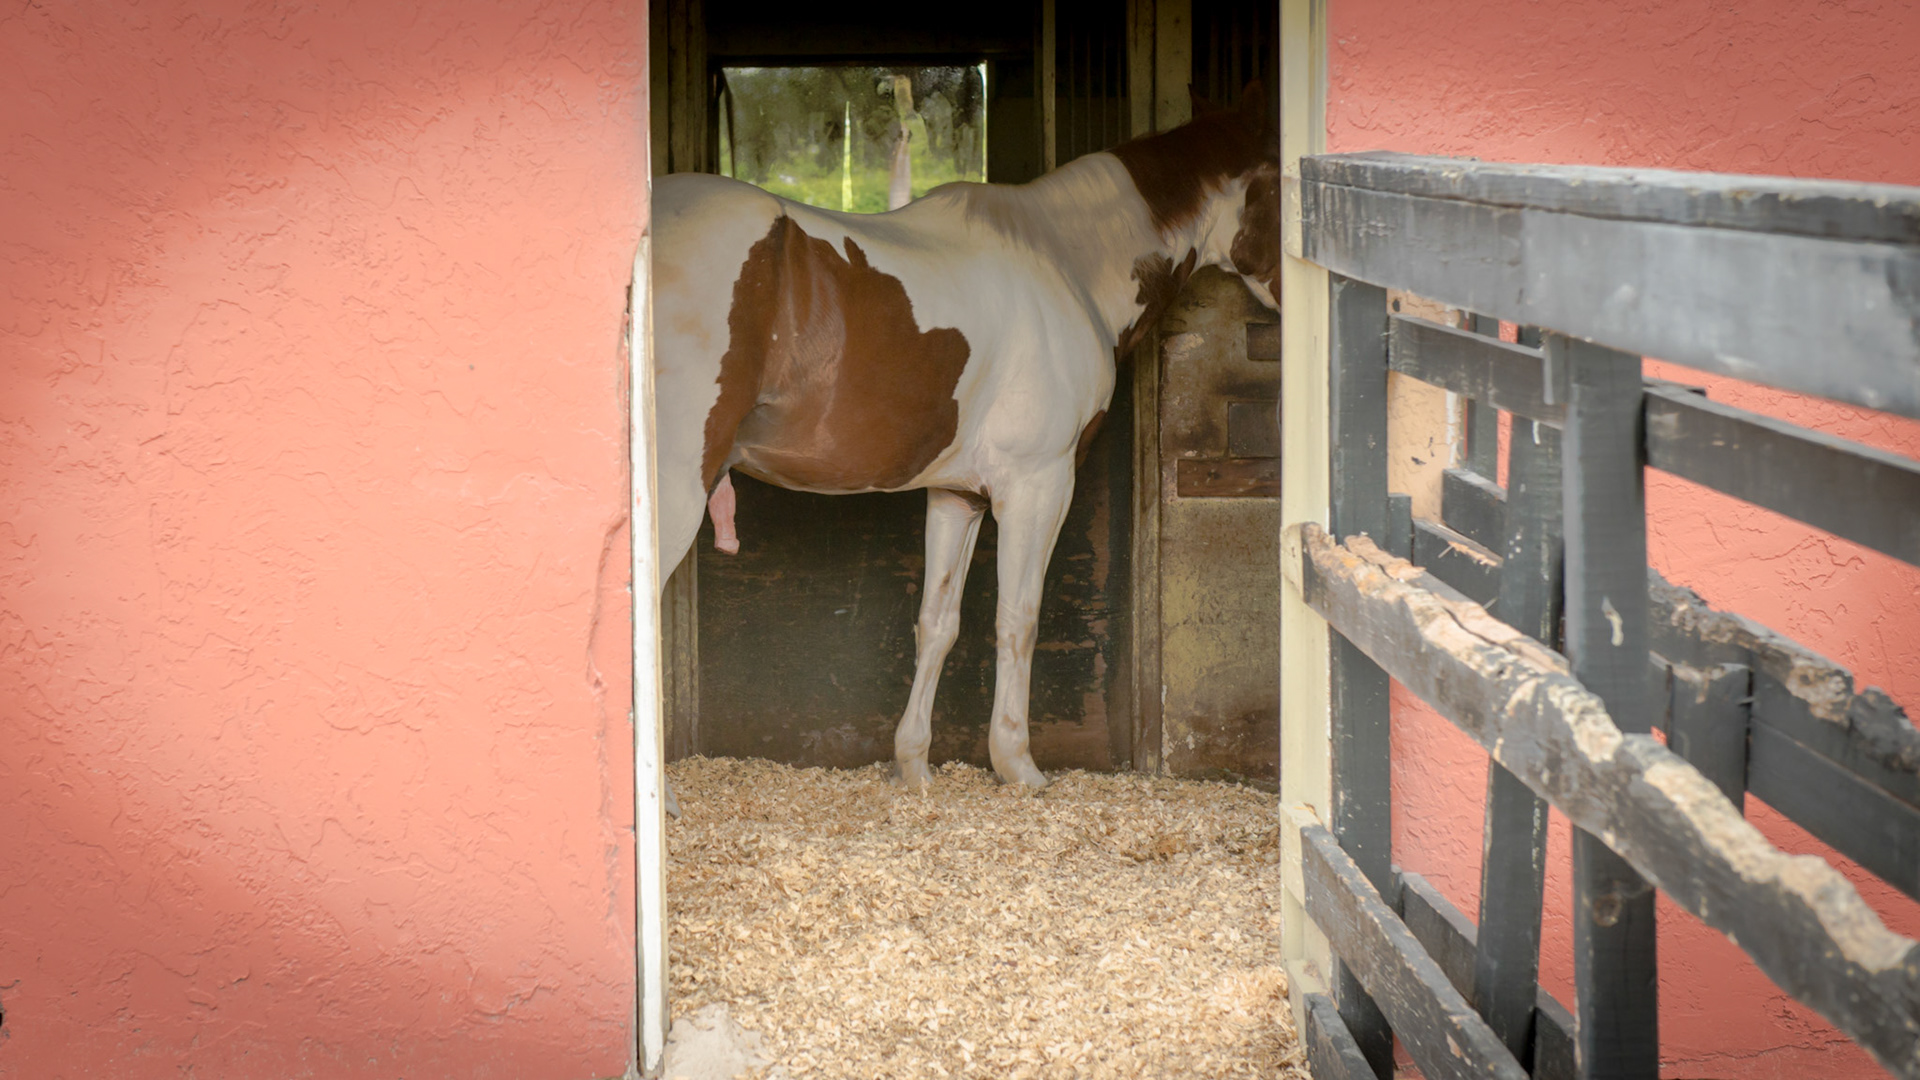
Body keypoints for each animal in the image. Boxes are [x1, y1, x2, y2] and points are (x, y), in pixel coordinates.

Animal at [650, 87, 1280, 791]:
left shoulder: (959, 494)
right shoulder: (1037, 487)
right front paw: (1018, 767)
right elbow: (1019, 618)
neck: (1066, 264)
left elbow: (938, 623)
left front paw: (915, 769)